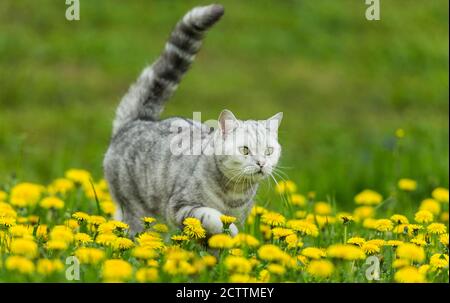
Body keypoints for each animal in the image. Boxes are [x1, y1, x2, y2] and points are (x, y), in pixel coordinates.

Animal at [103, 5, 284, 238]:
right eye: (245, 150)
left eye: (269, 151)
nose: (261, 162)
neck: (234, 195)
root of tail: (138, 120)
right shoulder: (181, 207)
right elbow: (213, 218)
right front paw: (229, 231)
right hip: (136, 209)